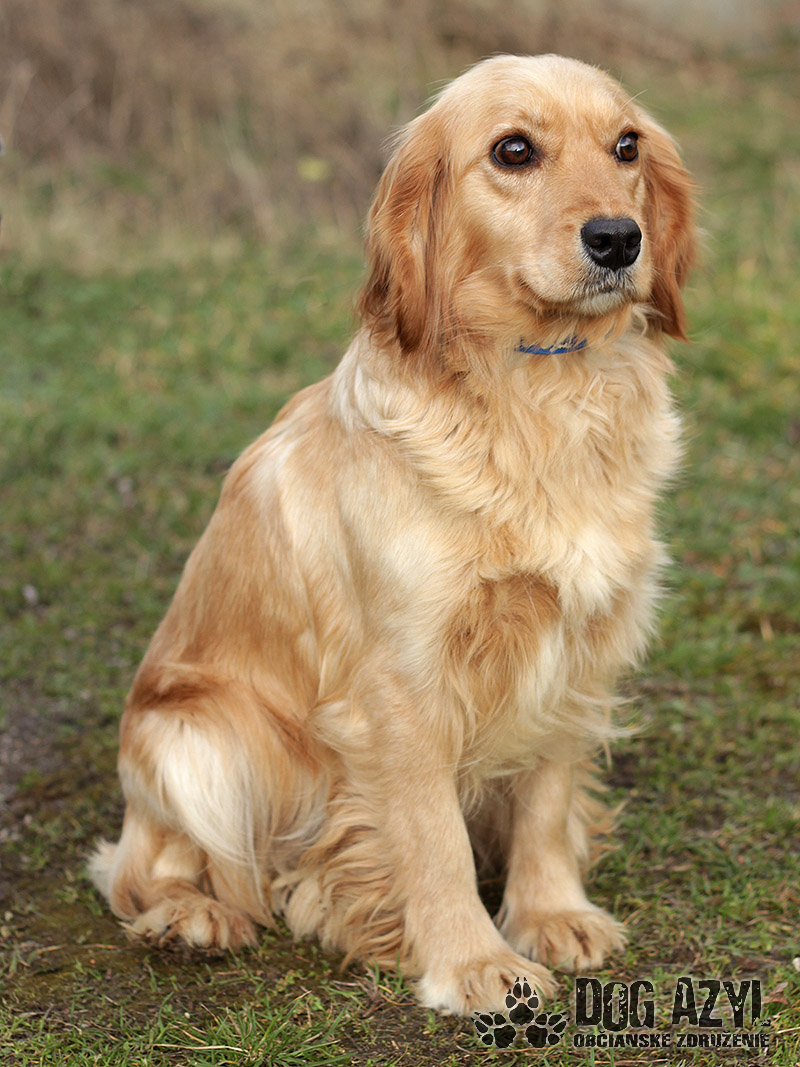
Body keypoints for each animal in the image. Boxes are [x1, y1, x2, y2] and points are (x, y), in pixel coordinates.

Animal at [90, 54, 696, 1015]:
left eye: (627, 146)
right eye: (514, 150)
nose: (617, 238)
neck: (538, 389)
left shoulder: (576, 644)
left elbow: (548, 795)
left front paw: (550, 914)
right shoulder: (403, 686)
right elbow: (433, 836)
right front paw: (474, 962)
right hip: (200, 740)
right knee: (138, 867)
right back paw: (194, 915)